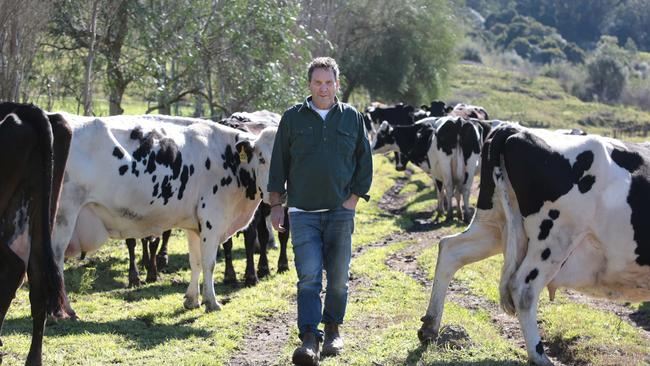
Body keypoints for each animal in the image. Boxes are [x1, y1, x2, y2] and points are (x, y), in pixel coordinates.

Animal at [51, 114, 274, 318]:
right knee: (55, 260)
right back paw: (64, 311)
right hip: (63, 217)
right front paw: (211, 302)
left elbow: (196, 261)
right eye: (262, 158)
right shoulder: (212, 220)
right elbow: (209, 262)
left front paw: (192, 300)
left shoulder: (195, 224)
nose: (275, 192)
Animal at [418, 123, 648, 366]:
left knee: (450, 249)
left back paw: (430, 326)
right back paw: (539, 356)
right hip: (553, 239)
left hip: (492, 223)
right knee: (523, 288)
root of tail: (514, 130)